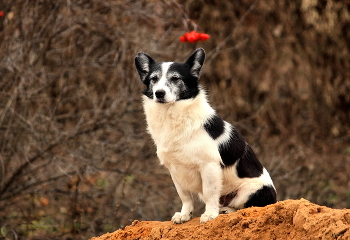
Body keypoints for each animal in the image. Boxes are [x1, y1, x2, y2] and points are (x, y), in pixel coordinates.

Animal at [134, 47, 276, 224]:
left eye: (175, 78)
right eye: (153, 79)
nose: (159, 93)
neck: (173, 116)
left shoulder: (209, 166)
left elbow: (210, 193)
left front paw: (209, 214)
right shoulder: (175, 170)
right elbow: (185, 196)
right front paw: (184, 215)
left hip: (252, 190)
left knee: (245, 206)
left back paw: (226, 211)